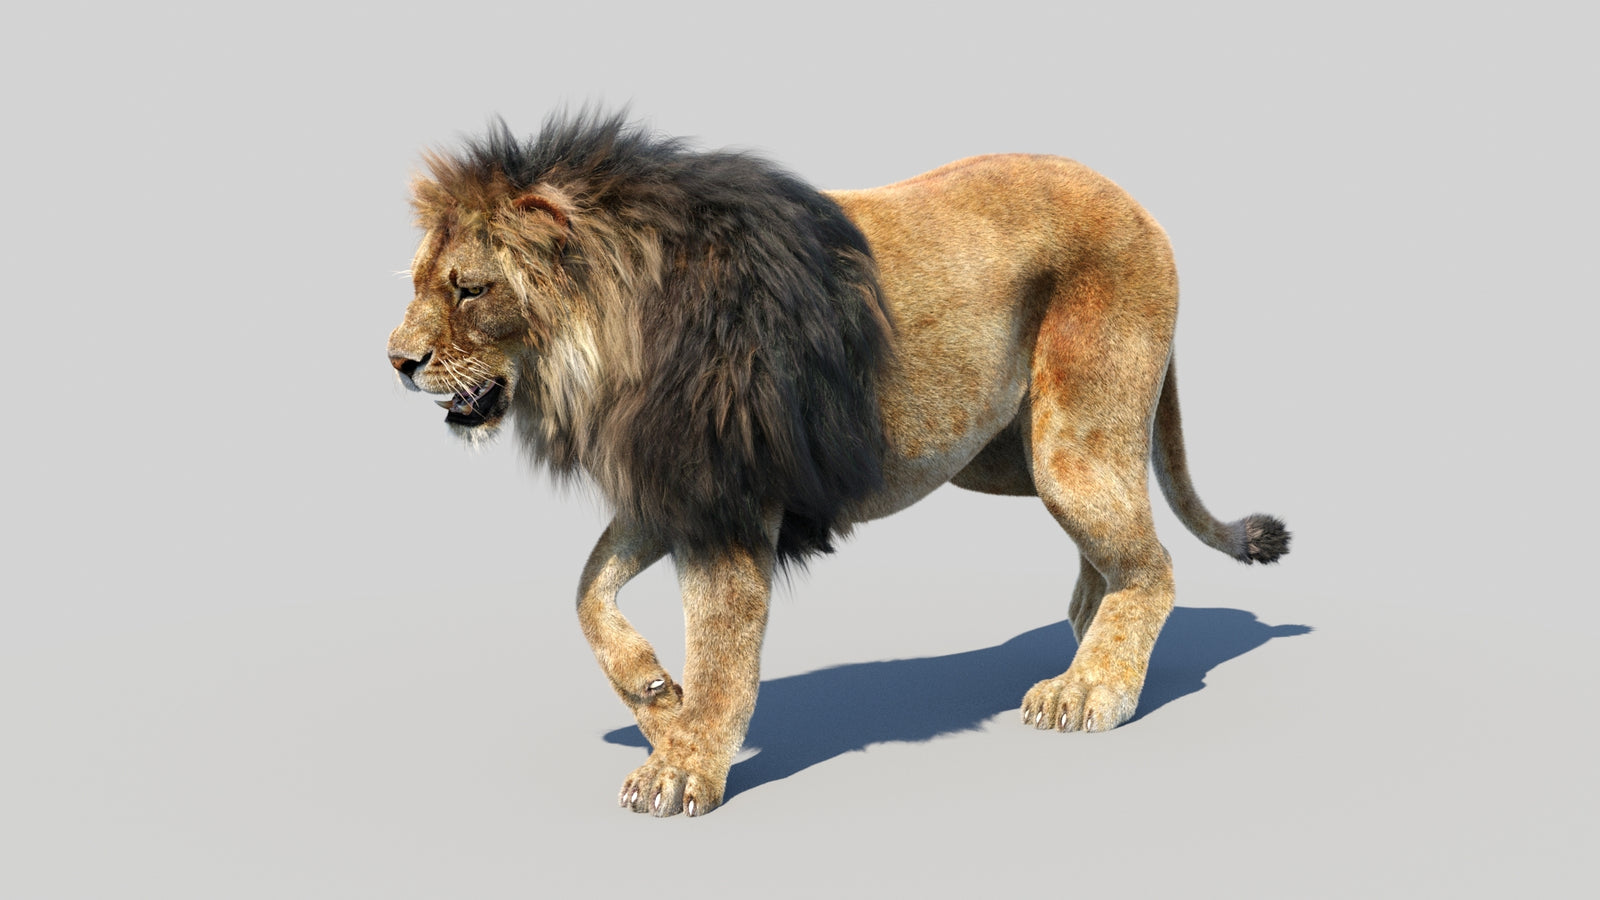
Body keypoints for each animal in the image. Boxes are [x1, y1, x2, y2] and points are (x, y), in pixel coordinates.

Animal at [387, 111, 1289, 818]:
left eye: (470, 289)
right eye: (422, 282)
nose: (396, 360)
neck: (603, 351)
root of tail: (1135, 202)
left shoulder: (727, 498)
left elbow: (721, 645)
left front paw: (684, 764)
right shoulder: (675, 483)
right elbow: (585, 591)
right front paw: (656, 699)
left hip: (1073, 441)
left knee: (1151, 566)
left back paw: (1093, 687)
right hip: (1010, 455)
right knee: (1103, 562)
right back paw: (1087, 652)